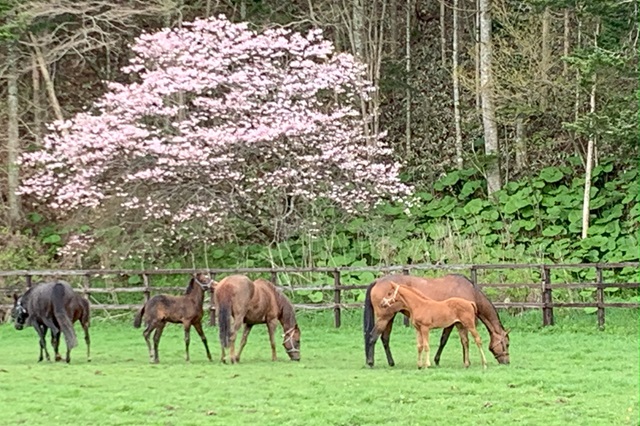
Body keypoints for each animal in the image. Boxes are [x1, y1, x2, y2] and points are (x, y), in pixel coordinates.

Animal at [364, 274, 510, 368]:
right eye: (507, 344)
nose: (506, 362)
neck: (469, 291)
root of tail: (377, 281)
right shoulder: (454, 323)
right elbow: (444, 340)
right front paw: (437, 360)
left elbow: (460, 341)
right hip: (385, 317)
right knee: (372, 337)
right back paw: (371, 362)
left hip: (389, 317)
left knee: (384, 338)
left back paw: (391, 363)